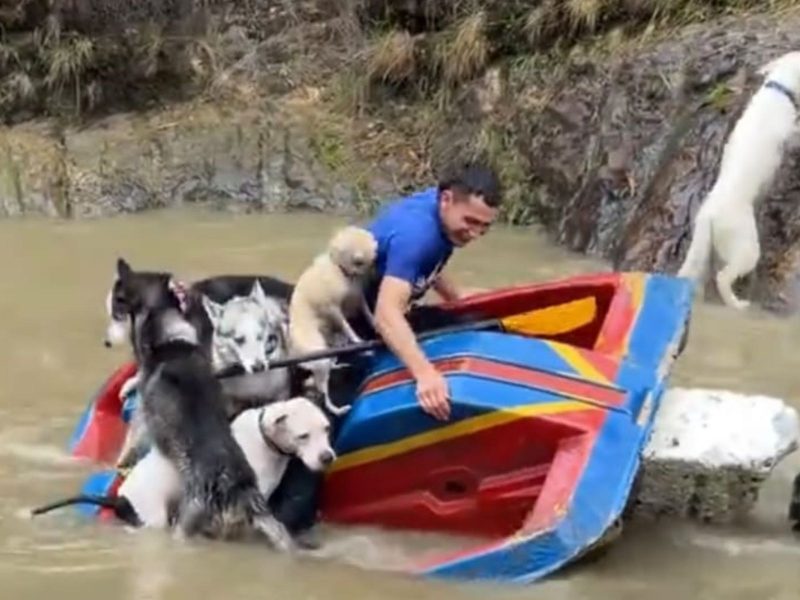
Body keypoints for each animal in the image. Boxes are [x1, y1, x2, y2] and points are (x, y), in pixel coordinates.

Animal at [290, 225, 380, 418]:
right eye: (369, 260)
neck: (341, 270)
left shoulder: (357, 298)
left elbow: (368, 313)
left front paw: (374, 323)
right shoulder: (334, 309)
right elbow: (349, 329)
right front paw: (361, 343)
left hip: (326, 350)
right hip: (319, 355)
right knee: (322, 392)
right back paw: (338, 409)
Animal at [680, 50, 800, 310]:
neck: (777, 89)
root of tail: (709, 216)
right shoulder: (790, 134)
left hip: (712, 249)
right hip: (746, 248)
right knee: (723, 278)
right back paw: (737, 304)